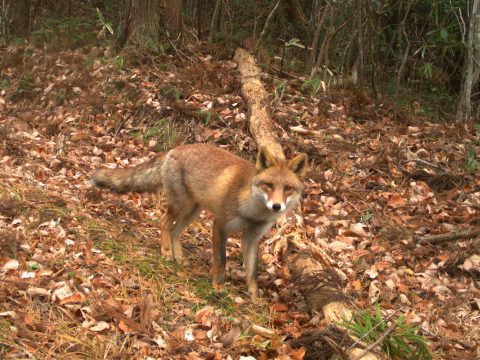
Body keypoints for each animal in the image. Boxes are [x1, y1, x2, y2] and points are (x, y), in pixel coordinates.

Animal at [91, 143, 308, 298]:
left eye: (288, 188)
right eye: (268, 185)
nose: (276, 206)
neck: (252, 212)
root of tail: (174, 149)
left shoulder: (252, 238)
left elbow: (252, 273)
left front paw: (255, 299)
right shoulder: (220, 225)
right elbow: (221, 260)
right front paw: (217, 287)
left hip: (193, 211)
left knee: (175, 231)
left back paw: (178, 256)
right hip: (182, 206)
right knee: (164, 222)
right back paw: (166, 251)